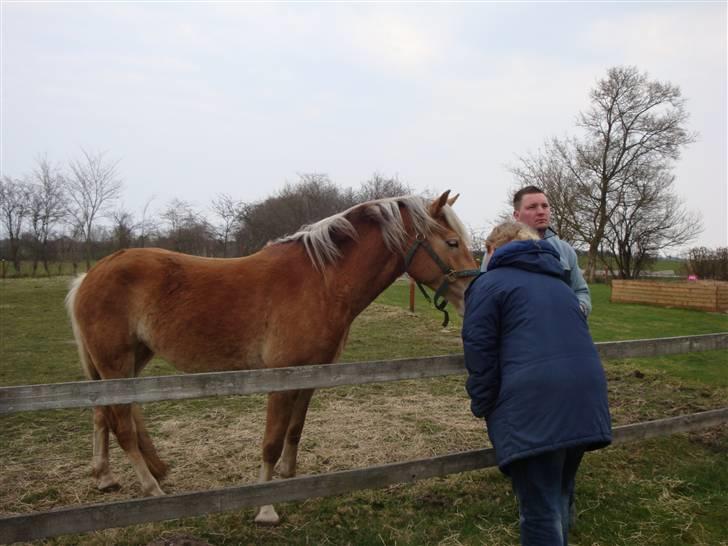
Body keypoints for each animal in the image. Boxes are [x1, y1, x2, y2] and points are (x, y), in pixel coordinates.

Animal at [65, 189, 480, 520]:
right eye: (451, 242)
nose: (472, 292)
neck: (320, 282)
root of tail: (89, 276)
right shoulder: (280, 379)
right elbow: (271, 442)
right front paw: (266, 508)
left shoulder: (311, 374)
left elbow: (294, 431)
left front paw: (288, 478)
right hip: (116, 362)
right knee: (120, 425)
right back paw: (152, 489)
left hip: (130, 361)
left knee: (104, 415)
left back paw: (109, 476)